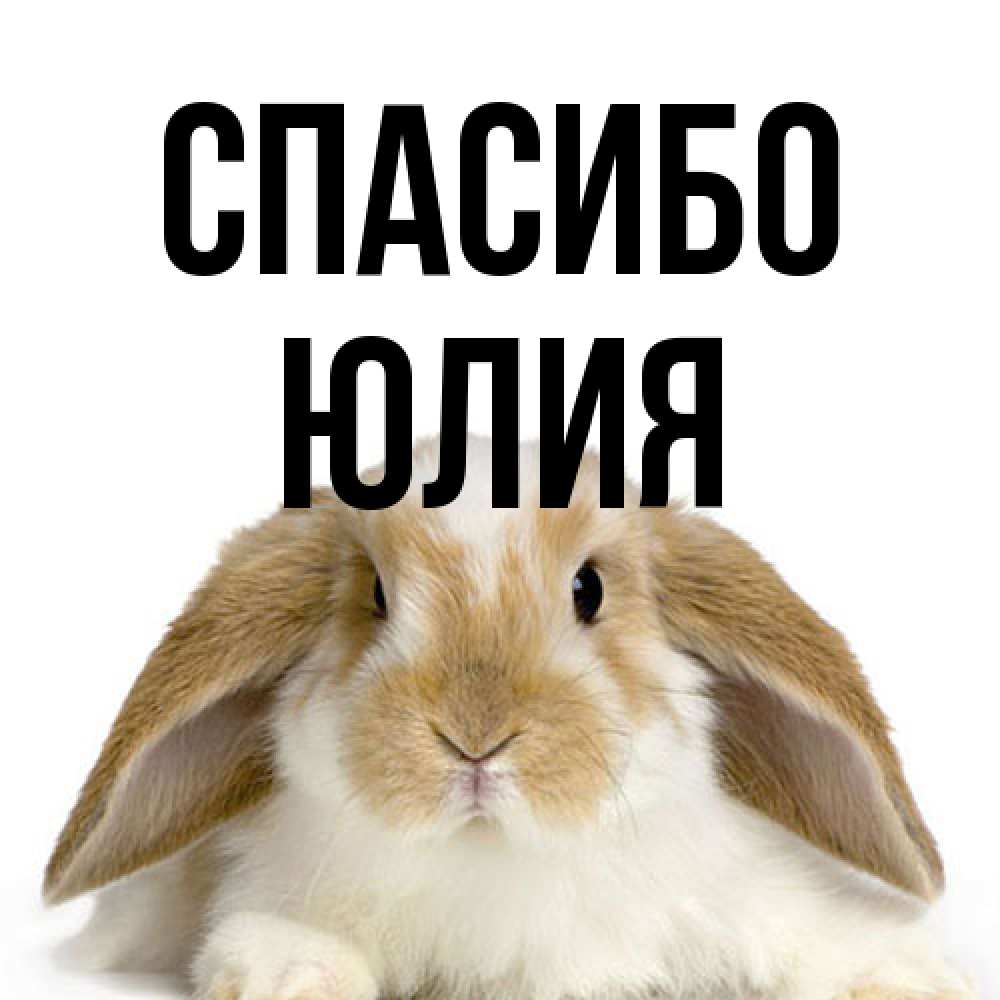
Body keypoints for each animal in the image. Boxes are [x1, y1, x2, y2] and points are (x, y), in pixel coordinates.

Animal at [45, 436, 975, 1000]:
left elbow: (817, 939)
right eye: (375, 596)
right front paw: (290, 976)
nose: (475, 737)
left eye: (589, 589)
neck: (495, 857)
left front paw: (909, 977)